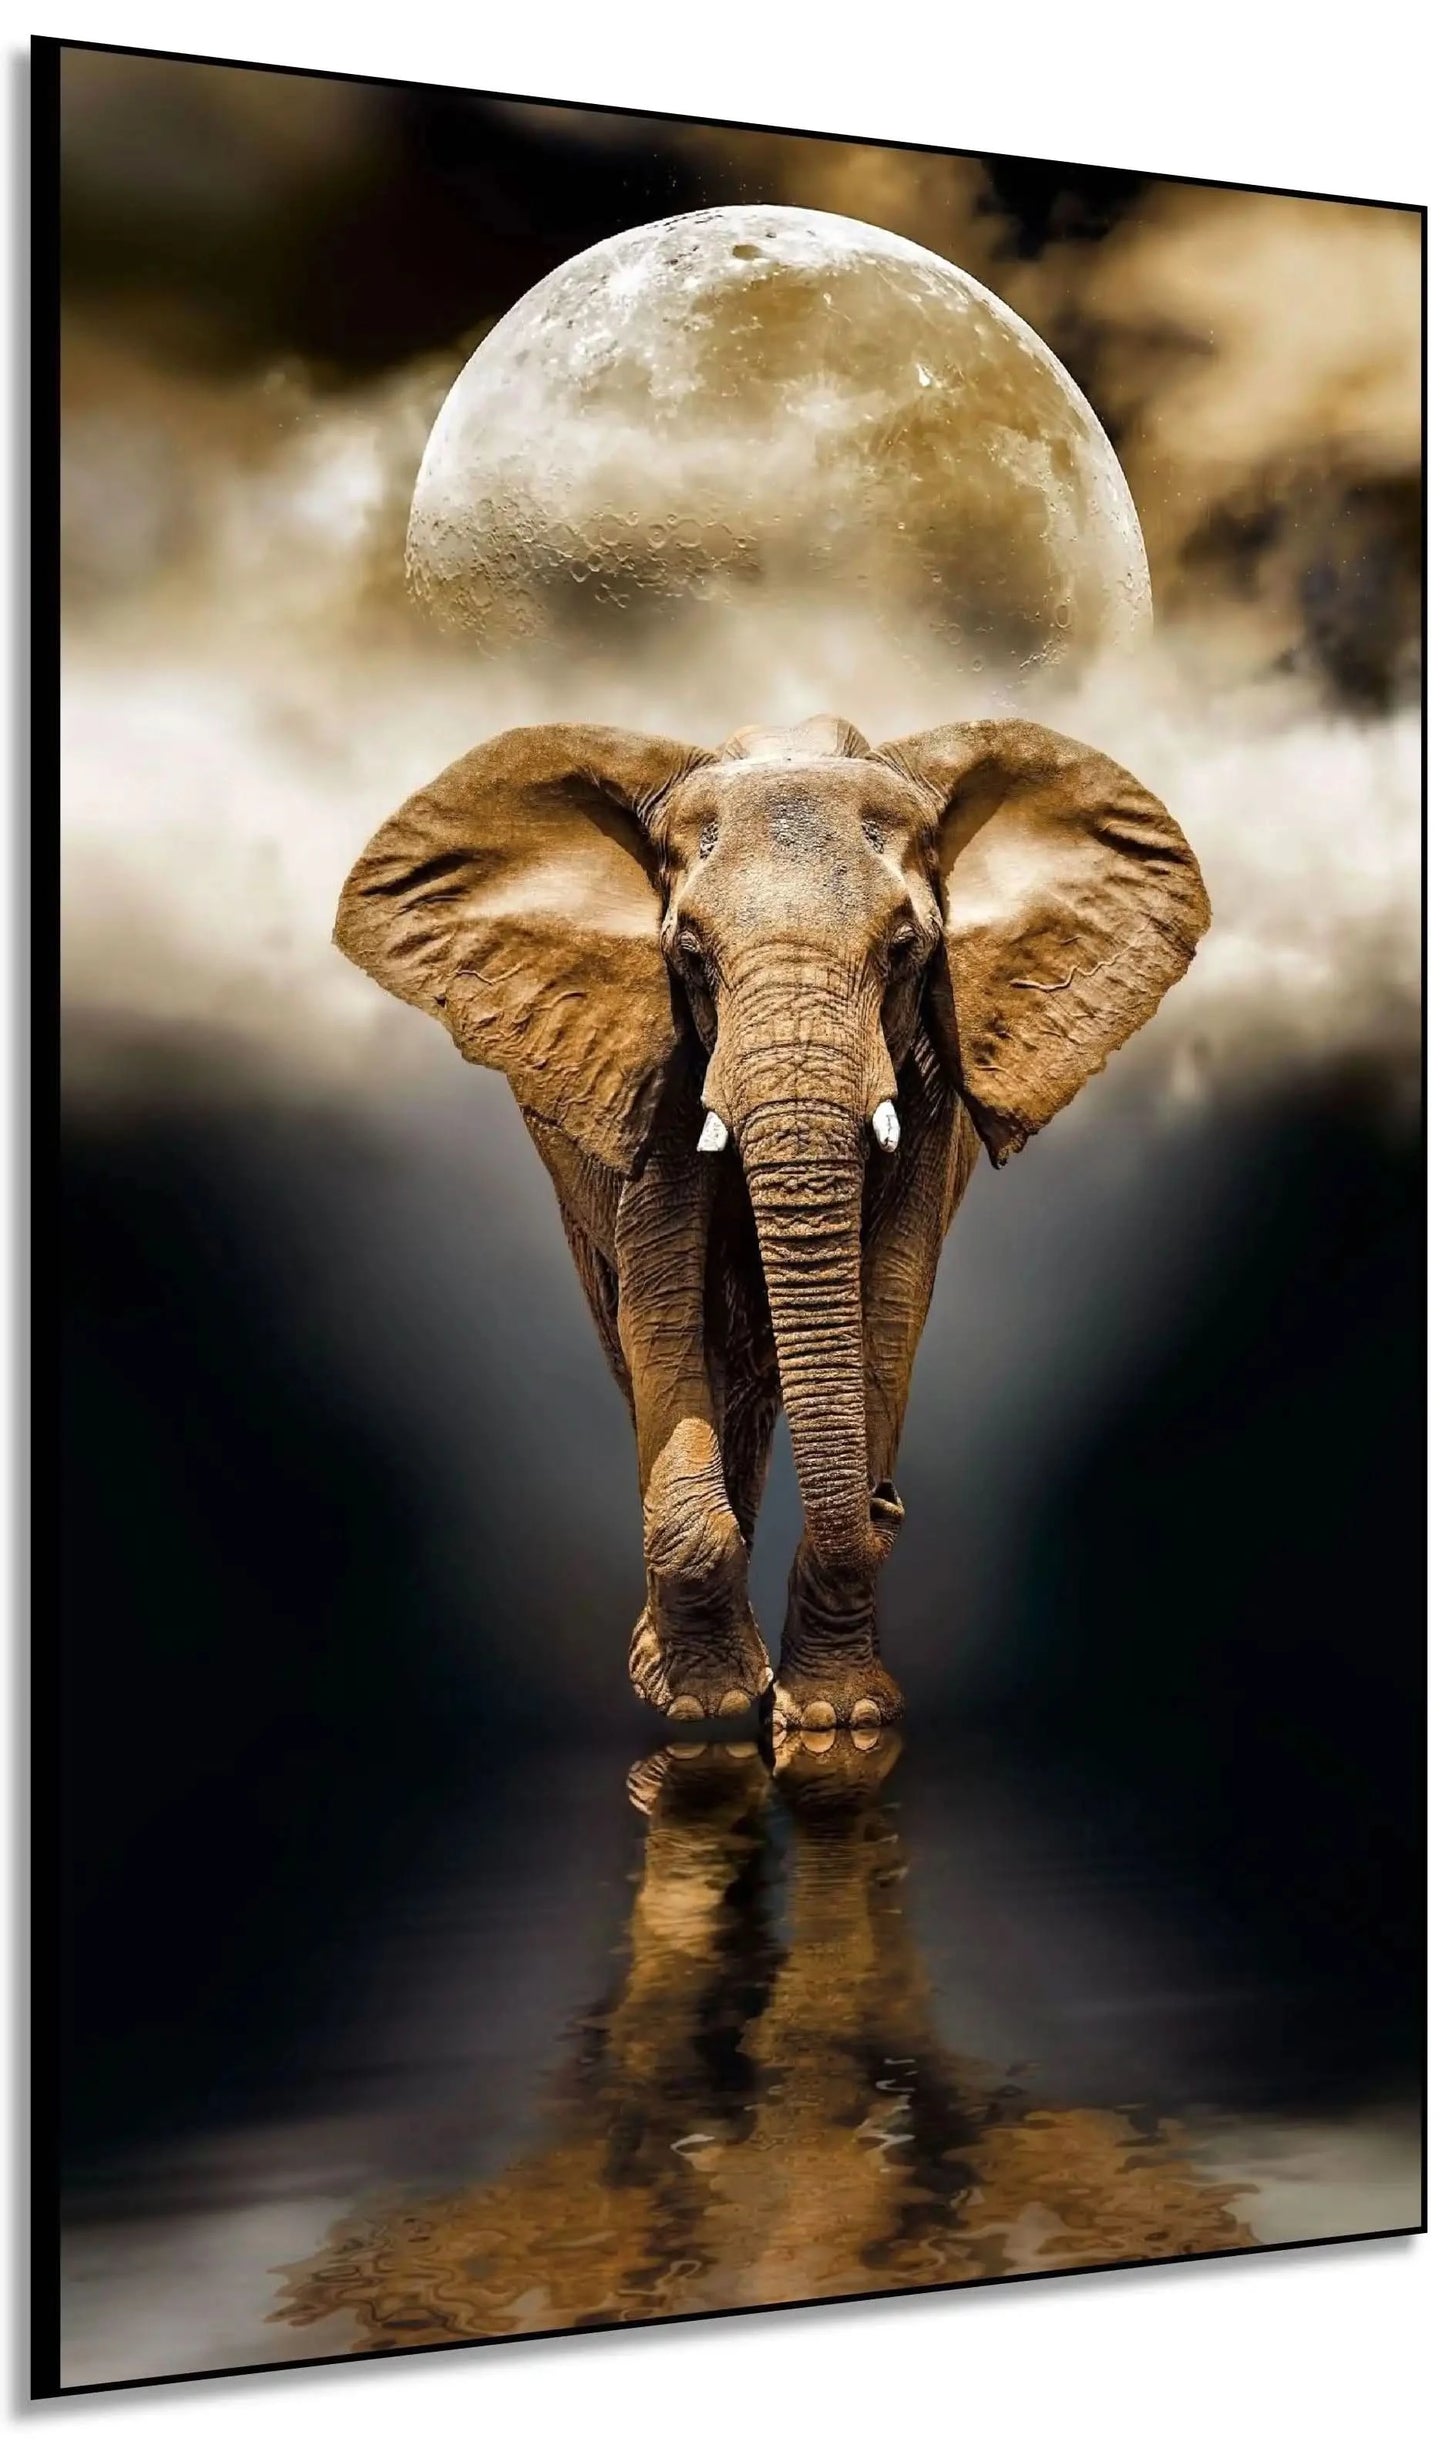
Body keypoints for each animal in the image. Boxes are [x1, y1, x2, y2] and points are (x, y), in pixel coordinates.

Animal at [335, 711, 1209, 1727]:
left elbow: (889, 1299)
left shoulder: (928, 1075)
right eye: (687, 954)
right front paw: (704, 1710)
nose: (888, 1498)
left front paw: (834, 1720)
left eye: (906, 949)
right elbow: (660, 1302)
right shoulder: (663, 1061)